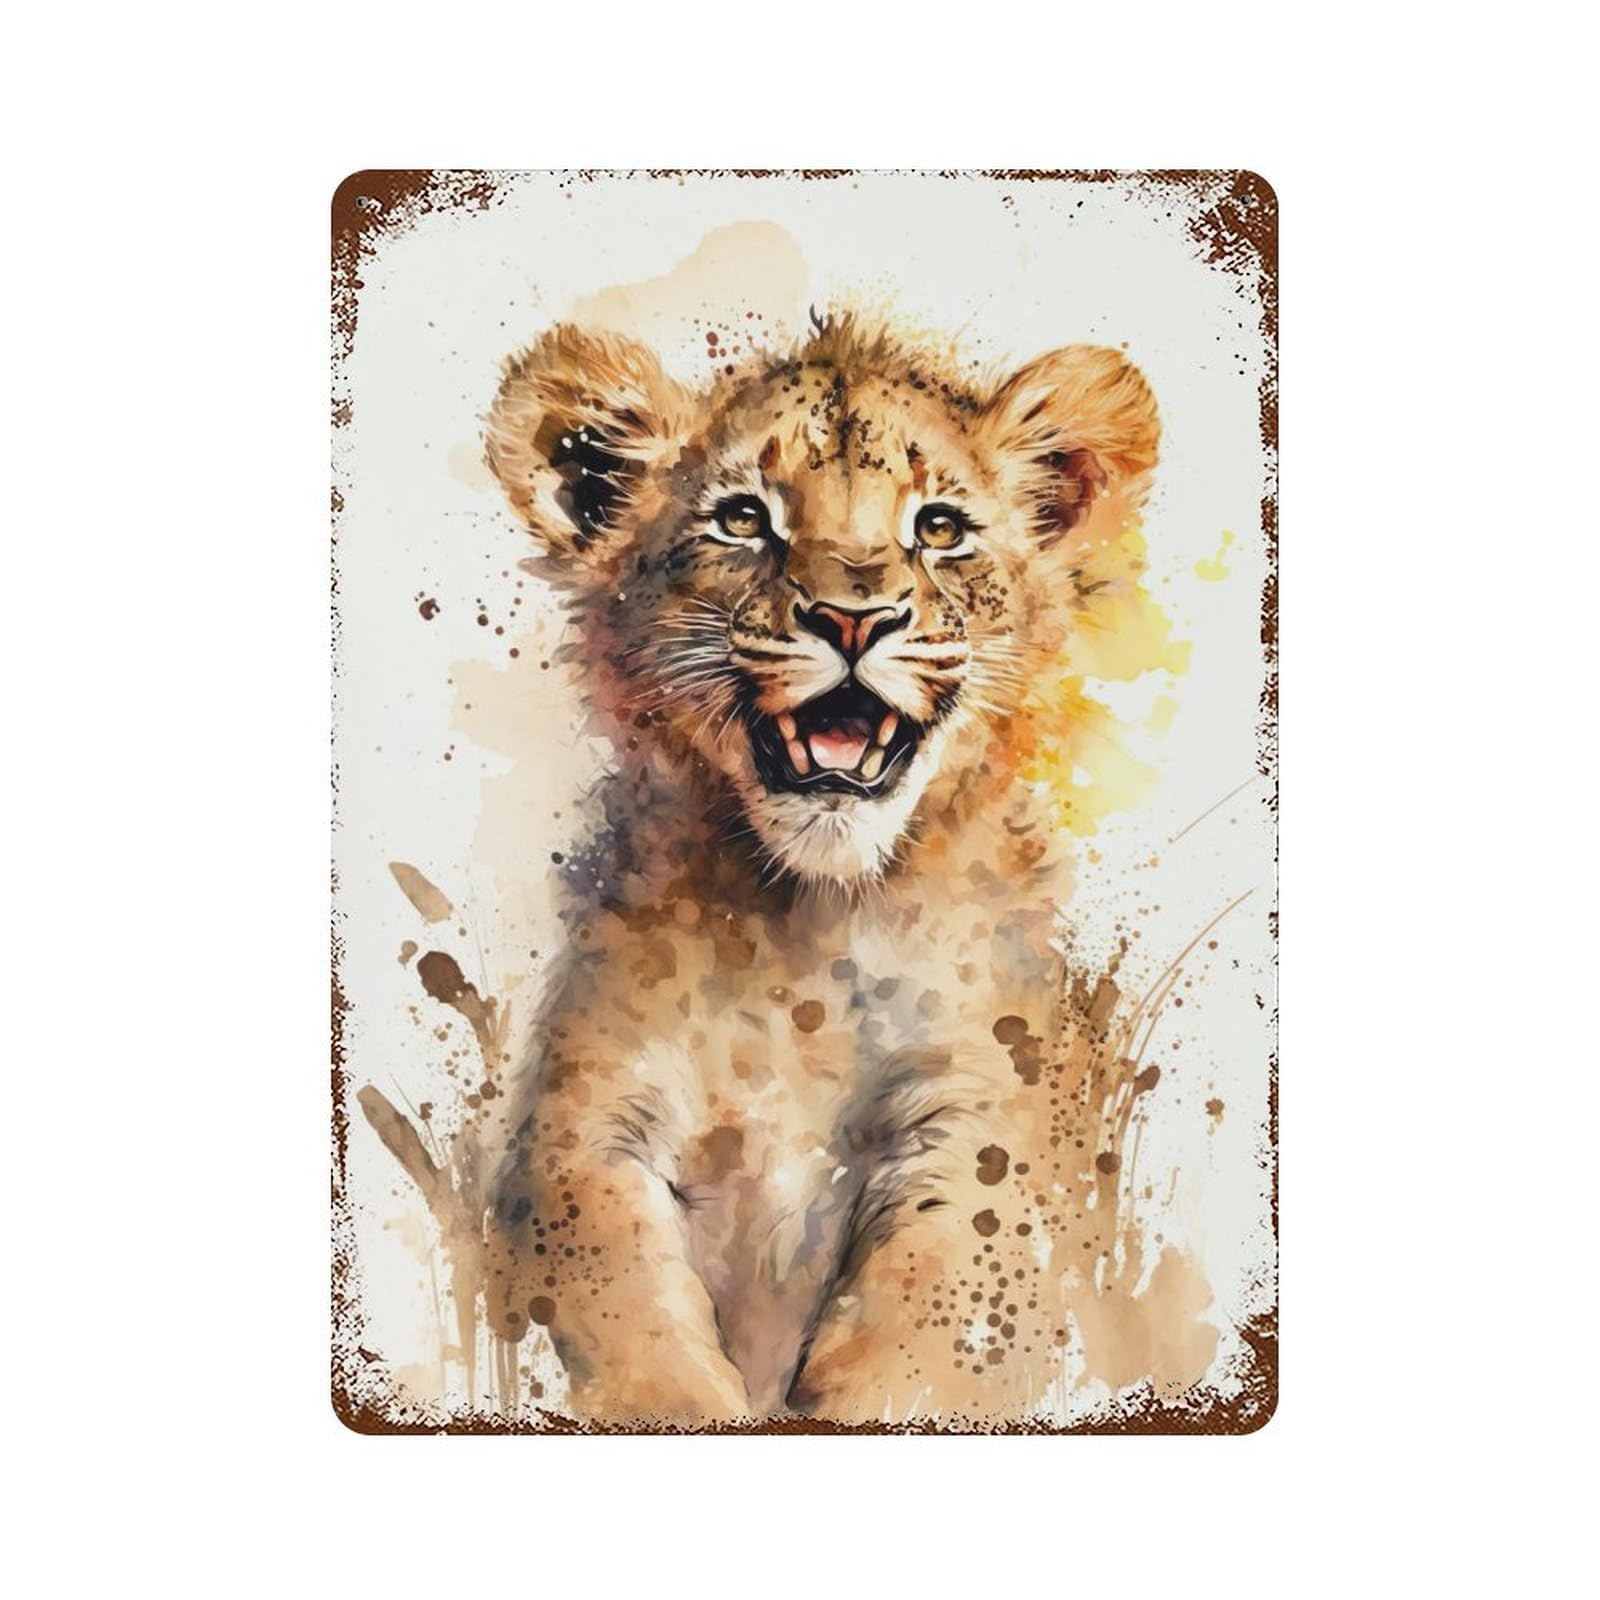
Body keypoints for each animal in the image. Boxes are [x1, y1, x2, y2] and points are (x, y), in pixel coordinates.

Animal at [476, 311, 1161, 1426]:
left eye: (939, 527)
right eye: (742, 518)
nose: (852, 619)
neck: (805, 923)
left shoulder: (988, 1125)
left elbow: (929, 1324)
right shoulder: (585, 1127)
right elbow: (615, 1304)